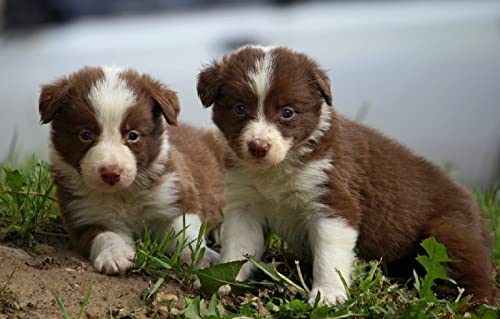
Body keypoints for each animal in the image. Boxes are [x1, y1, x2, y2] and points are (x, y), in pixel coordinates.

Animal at [40, 67, 224, 276]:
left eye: (133, 135)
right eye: (86, 135)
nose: (111, 173)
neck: (124, 193)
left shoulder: (176, 194)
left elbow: (184, 231)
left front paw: (202, 256)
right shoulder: (82, 215)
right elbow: (103, 234)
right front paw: (115, 254)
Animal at [197, 45, 498, 304]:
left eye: (287, 112)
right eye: (239, 108)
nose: (258, 147)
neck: (277, 169)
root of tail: (477, 210)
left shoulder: (333, 203)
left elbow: (329, 257)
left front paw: (327, 294)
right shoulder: (245, 205)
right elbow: (239, 247)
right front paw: (222, 280)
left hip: (449, 233)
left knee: (478, 278)